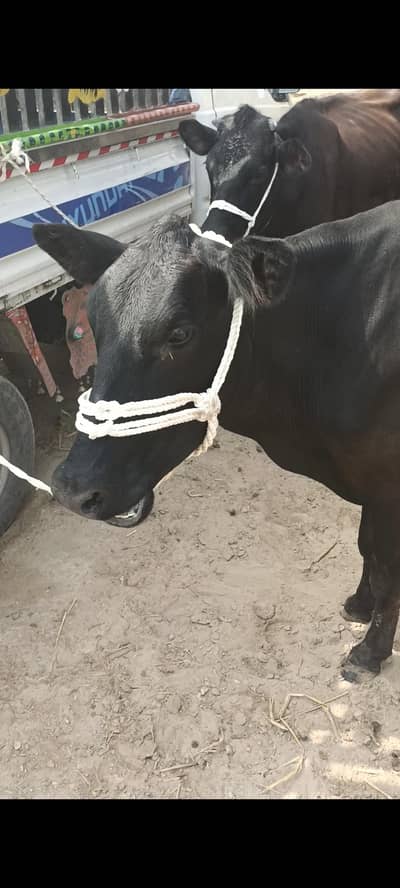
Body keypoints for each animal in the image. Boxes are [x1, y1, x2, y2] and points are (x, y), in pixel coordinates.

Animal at [32, 201, 400, 681]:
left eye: (180, 333)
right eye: (93, 324)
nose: (73, 488)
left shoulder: (387, 484)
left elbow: (387, 567)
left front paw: (370, 652)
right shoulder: (370, 481)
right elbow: (366, 548)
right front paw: (359, 603)